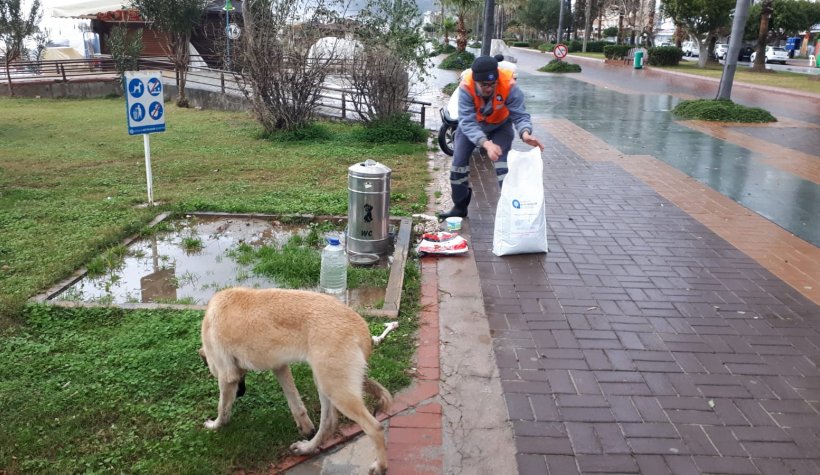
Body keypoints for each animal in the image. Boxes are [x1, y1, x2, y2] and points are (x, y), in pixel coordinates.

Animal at [198, 288, 390, 474]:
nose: (240, 393)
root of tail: (361, 327)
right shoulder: (280, 367)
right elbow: (295, 403)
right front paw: (305, 427)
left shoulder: (226, 376)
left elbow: (222, 407)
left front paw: (215, 425)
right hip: (324, 382)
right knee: (328, 423)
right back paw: (308, 447)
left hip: (336, 390)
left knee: (375, 428)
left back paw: (380, 465)